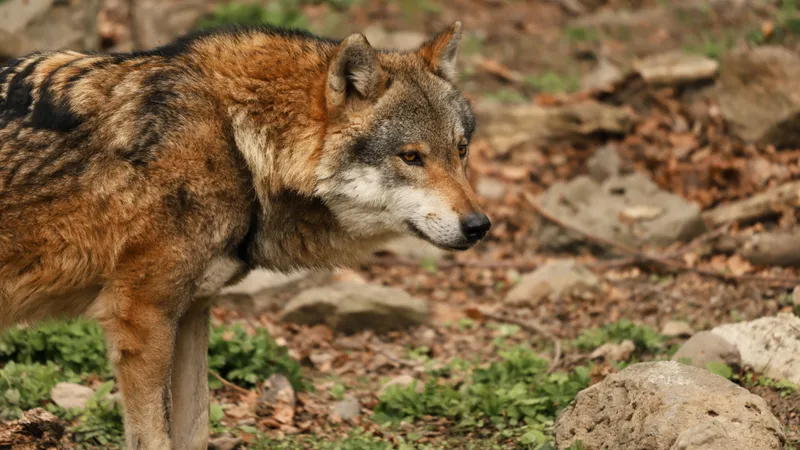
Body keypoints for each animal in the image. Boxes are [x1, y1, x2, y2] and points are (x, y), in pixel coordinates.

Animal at [0, 22, 490, 449]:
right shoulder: (141, 317)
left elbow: (196, 430)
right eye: (411, 157)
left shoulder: (191, 310)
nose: (479, 226)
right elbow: (156, 438)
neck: (235, 141)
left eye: (461, 150)